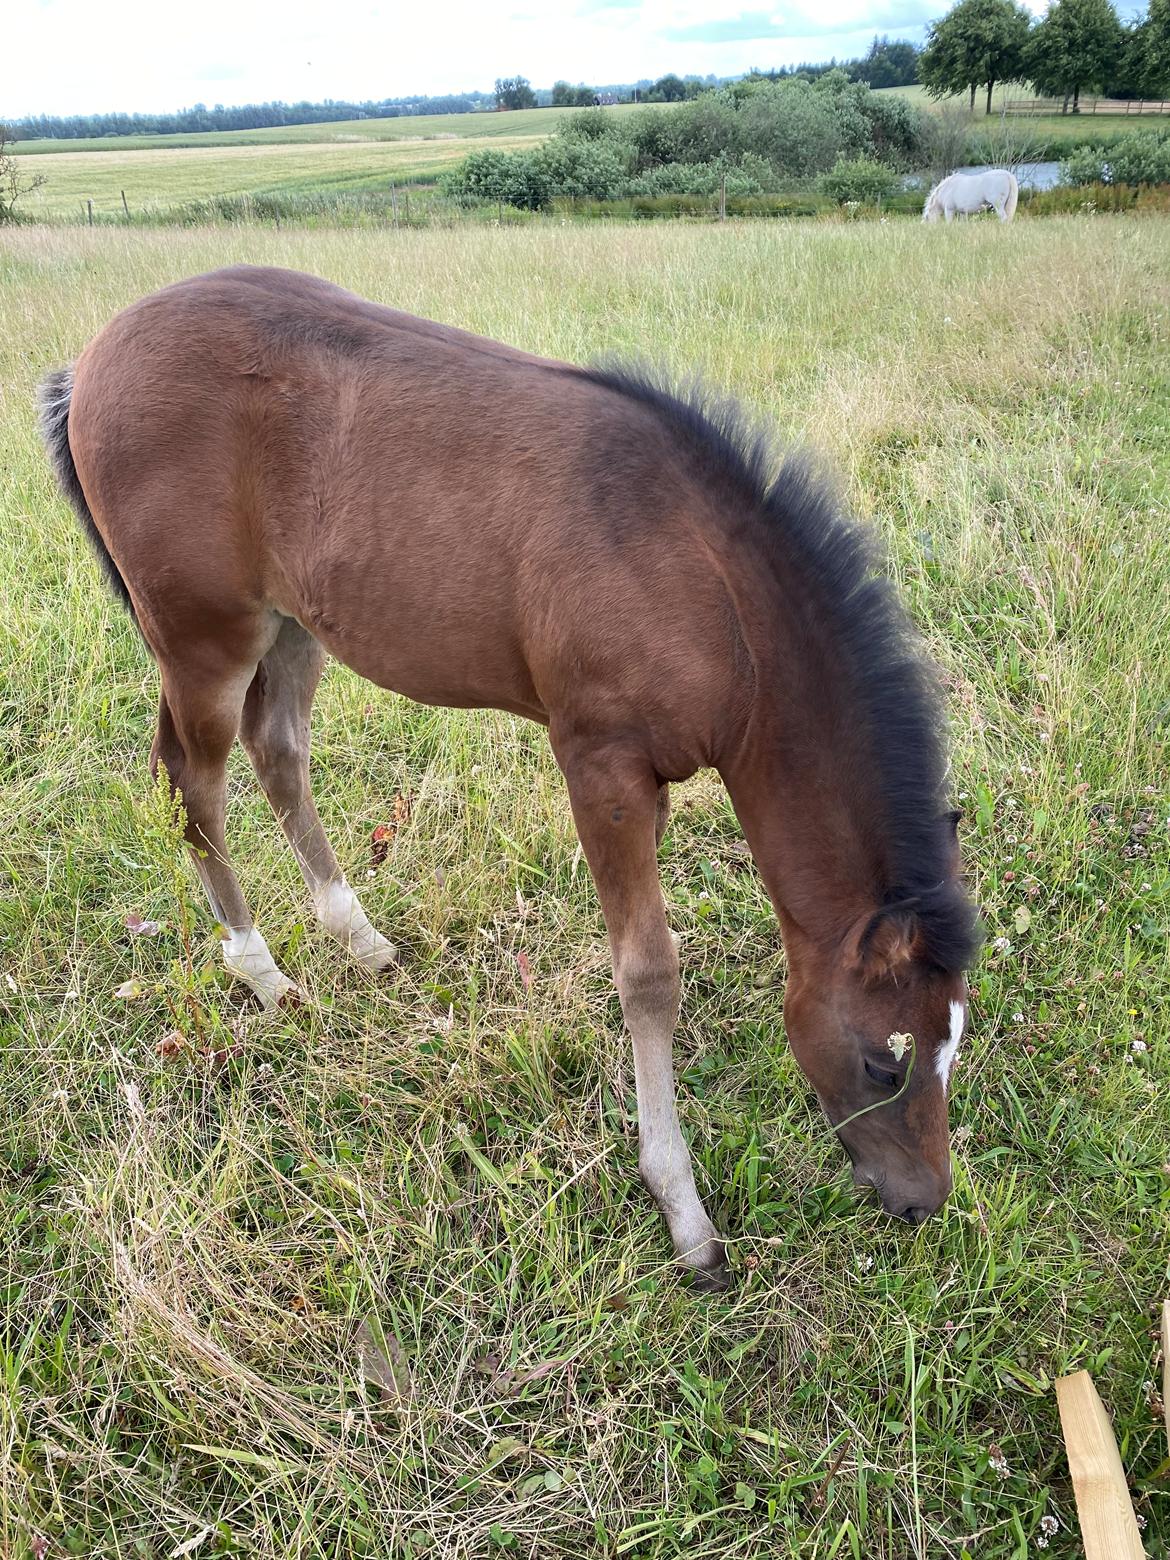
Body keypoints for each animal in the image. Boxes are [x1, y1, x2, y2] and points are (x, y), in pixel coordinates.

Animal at [39, 266, 979, 1289]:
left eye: (953, 1045)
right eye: (885, 1062)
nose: (923, 1202)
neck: (709, 595)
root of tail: (87, 364)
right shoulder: (600, 763)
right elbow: (649, 974)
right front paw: (683, 1212)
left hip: (292, 621)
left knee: (277, 749)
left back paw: (358, 936)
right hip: (201, 635)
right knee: (193, 782)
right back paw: (262, 971)